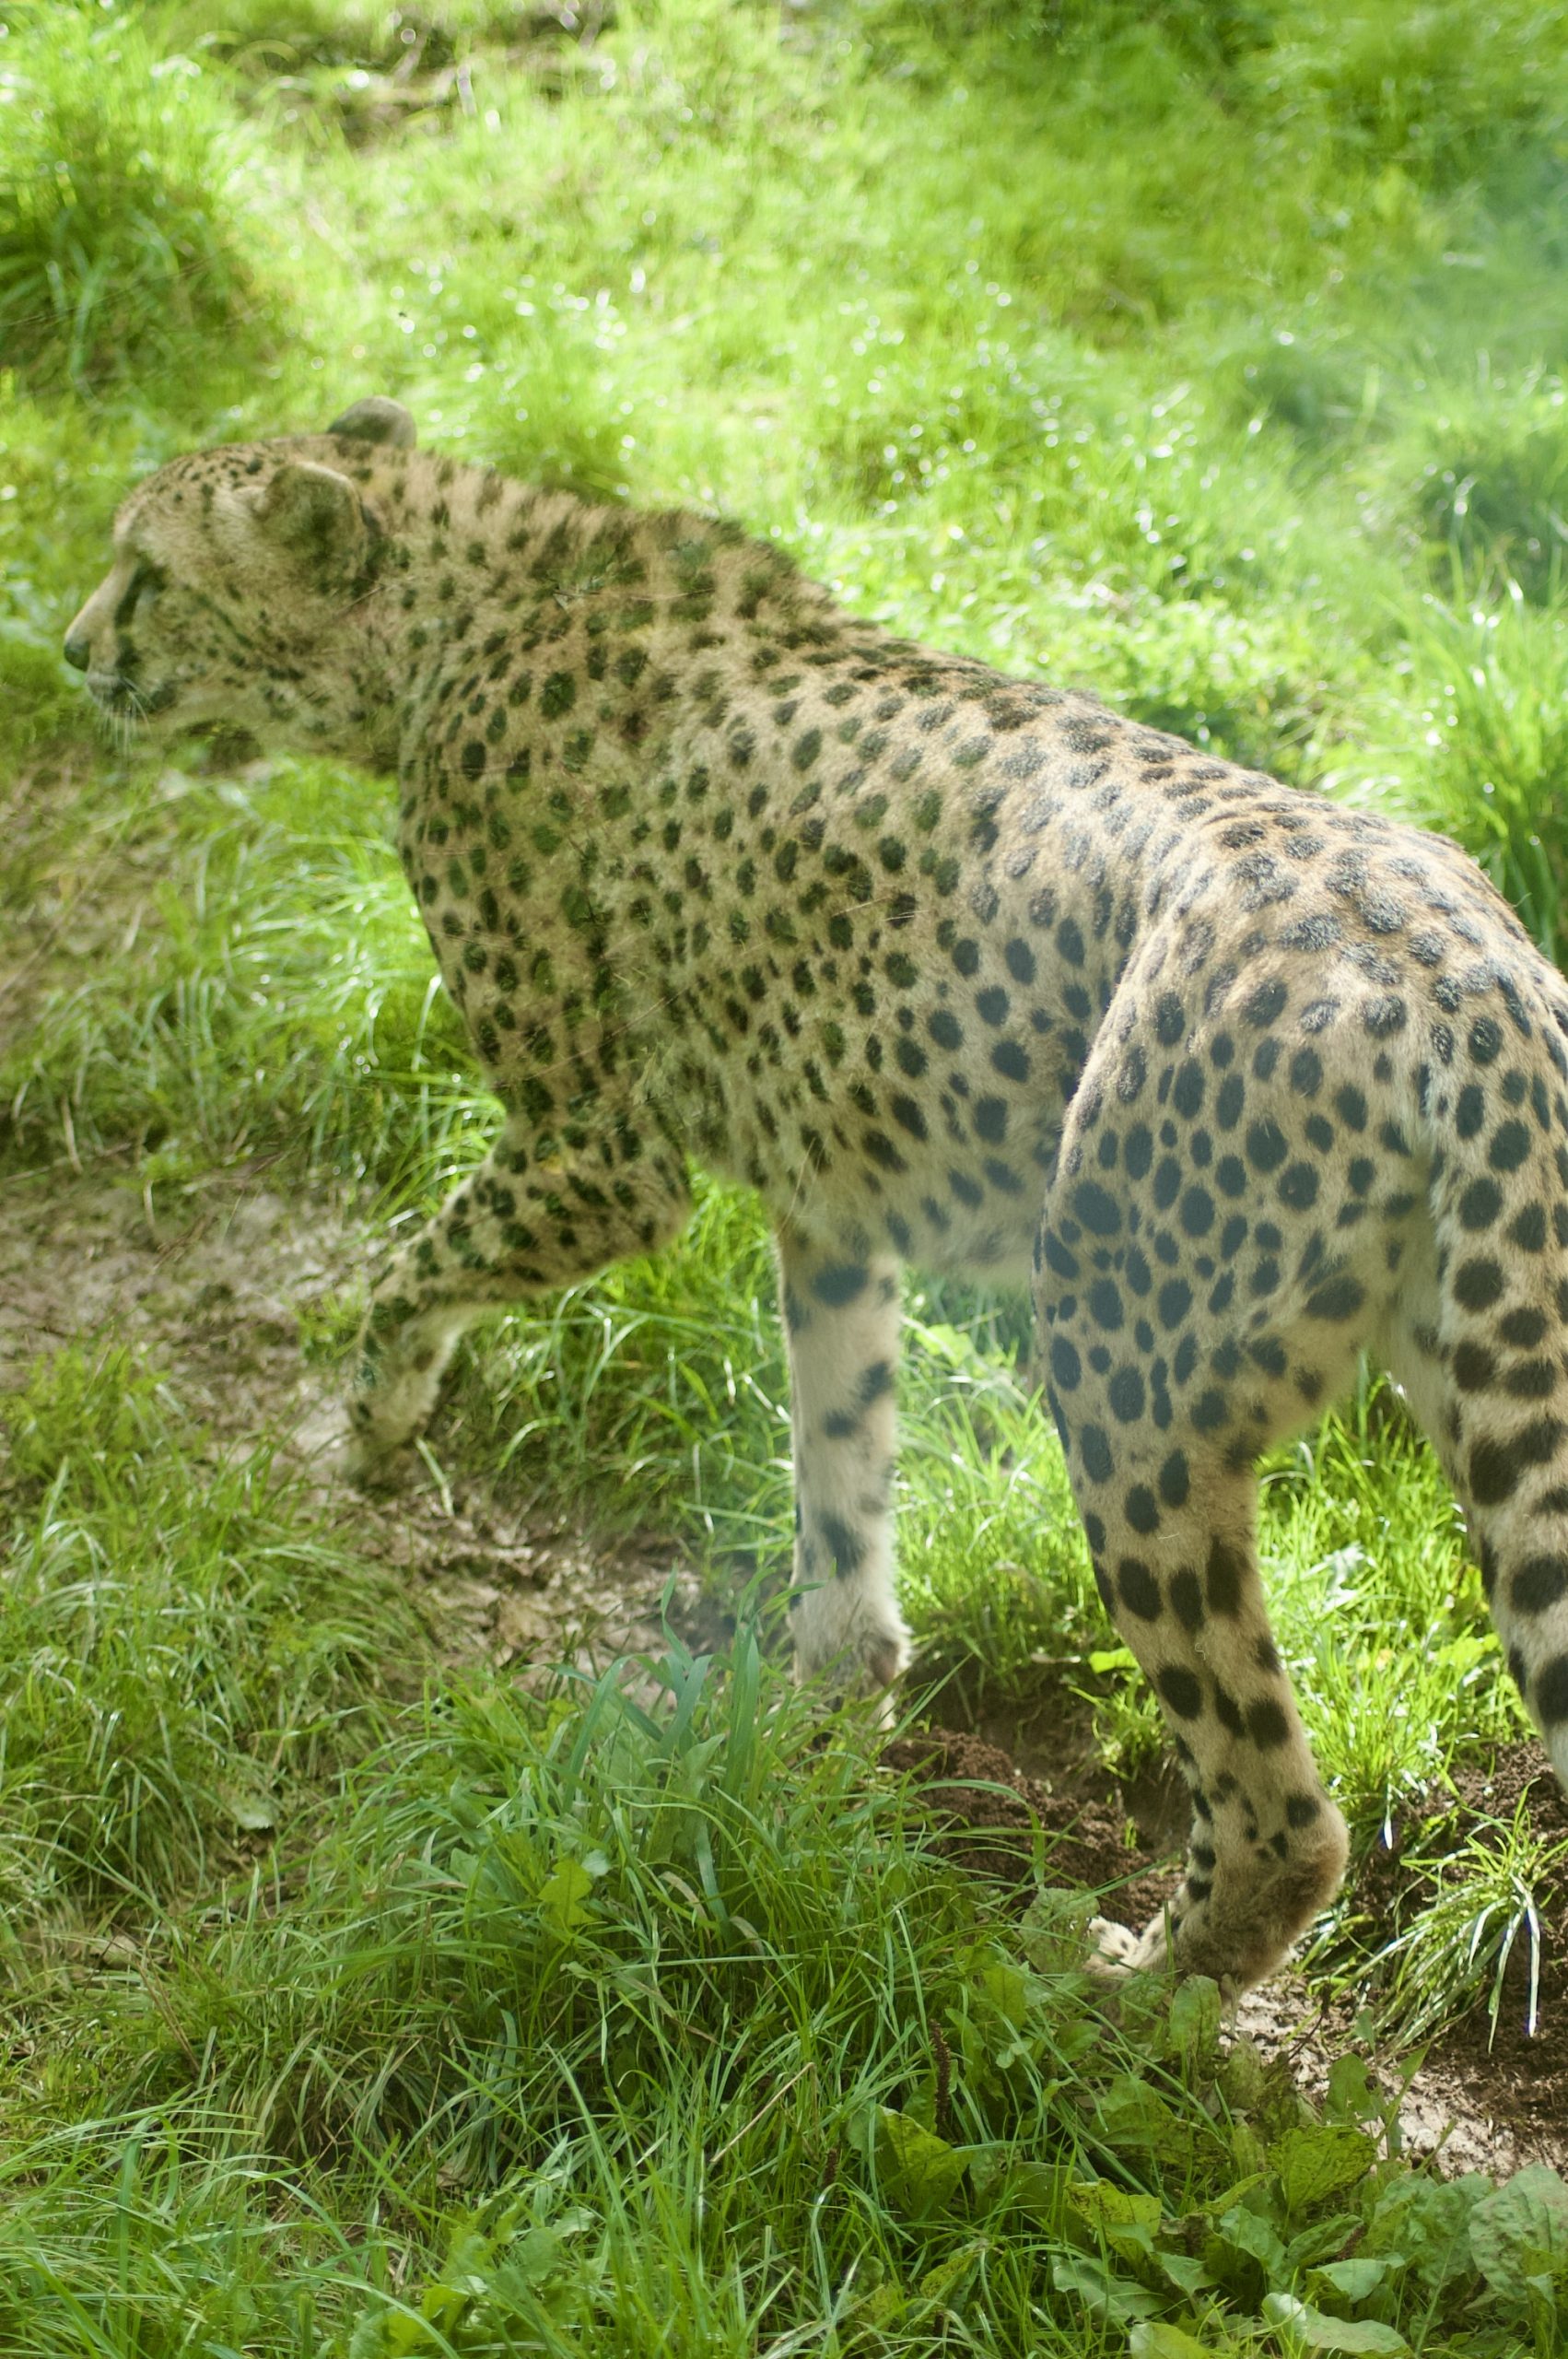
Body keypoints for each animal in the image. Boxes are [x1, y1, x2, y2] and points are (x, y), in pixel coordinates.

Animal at [65, 394, 1568, 1992]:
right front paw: (826, 1696)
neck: (452, 610)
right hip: (1474, 1357)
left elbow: (414, 1263)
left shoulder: (598, 1154)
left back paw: (1125, 1993)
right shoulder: (835, 1204)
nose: (71, 648)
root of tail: (1460, 968)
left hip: (1124, 1369)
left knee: (1276, 1798)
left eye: (147, 571)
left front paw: (370, 1417)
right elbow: (837, 1448)